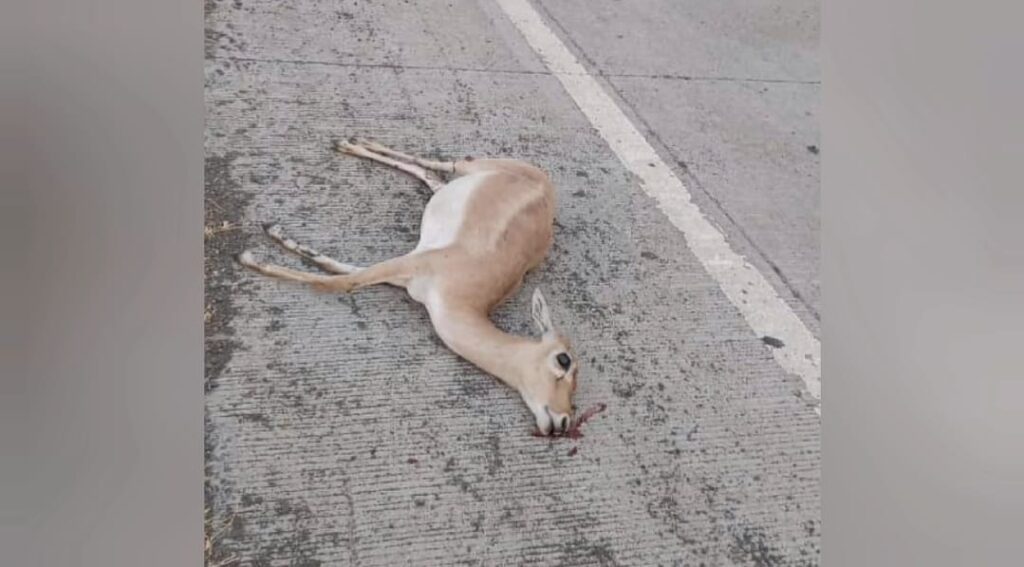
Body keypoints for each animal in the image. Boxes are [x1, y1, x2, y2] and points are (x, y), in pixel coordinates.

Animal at [236, 139, 580, 436]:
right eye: (564, 360)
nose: (563, 421)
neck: (464, 295)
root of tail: (544, 185)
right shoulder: (414, 263)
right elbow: (338, 281)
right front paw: (252, 256)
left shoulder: (407, 276)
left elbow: (337, 270)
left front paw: (274, 235)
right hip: (474, 165)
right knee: (442, 163)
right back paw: (351, 142)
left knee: (430, 176)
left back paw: (352, 143)